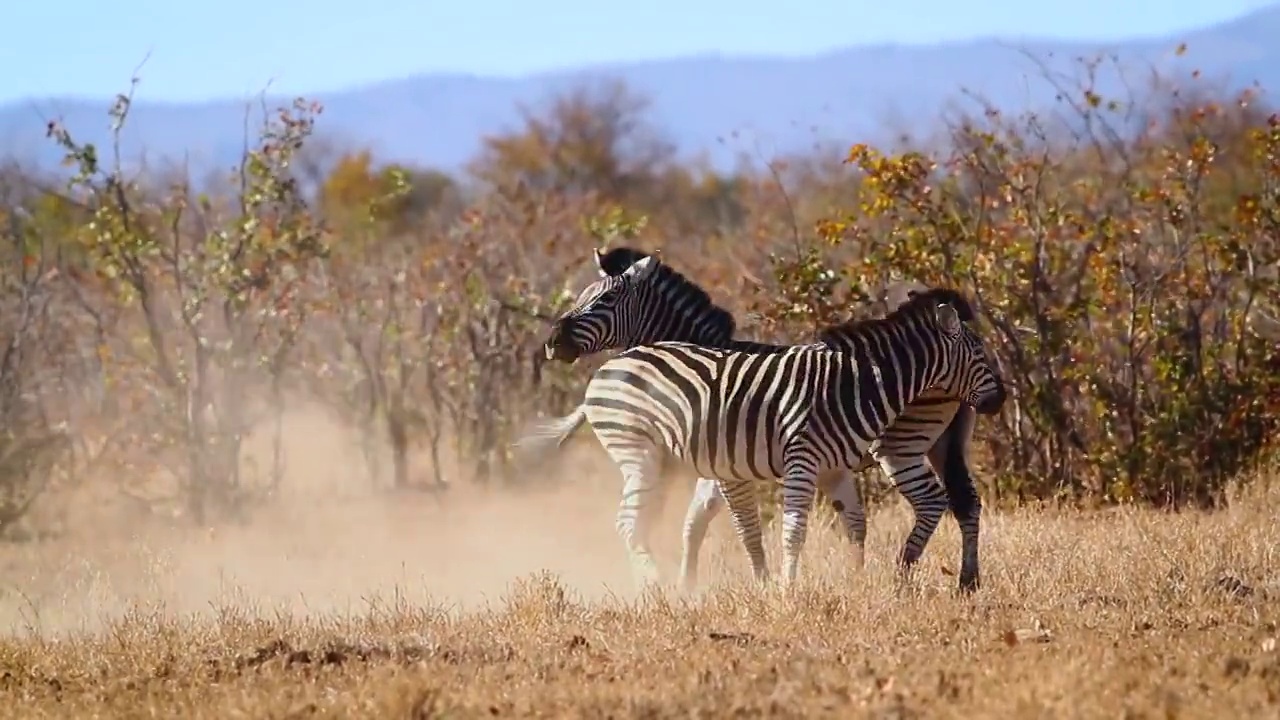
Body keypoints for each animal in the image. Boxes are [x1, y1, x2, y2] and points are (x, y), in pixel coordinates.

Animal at [540, 245, 988, 589]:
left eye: (604, 300)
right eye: (582, 295)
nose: (552, 343)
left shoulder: (722, 460)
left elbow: (714, 522)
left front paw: (734, 582)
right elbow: (697, 522)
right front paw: (691, 583)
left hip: (901, 446)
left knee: (936, 502)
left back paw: (915, 575)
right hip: (941, 446)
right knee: (967, 503)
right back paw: (968, 581)